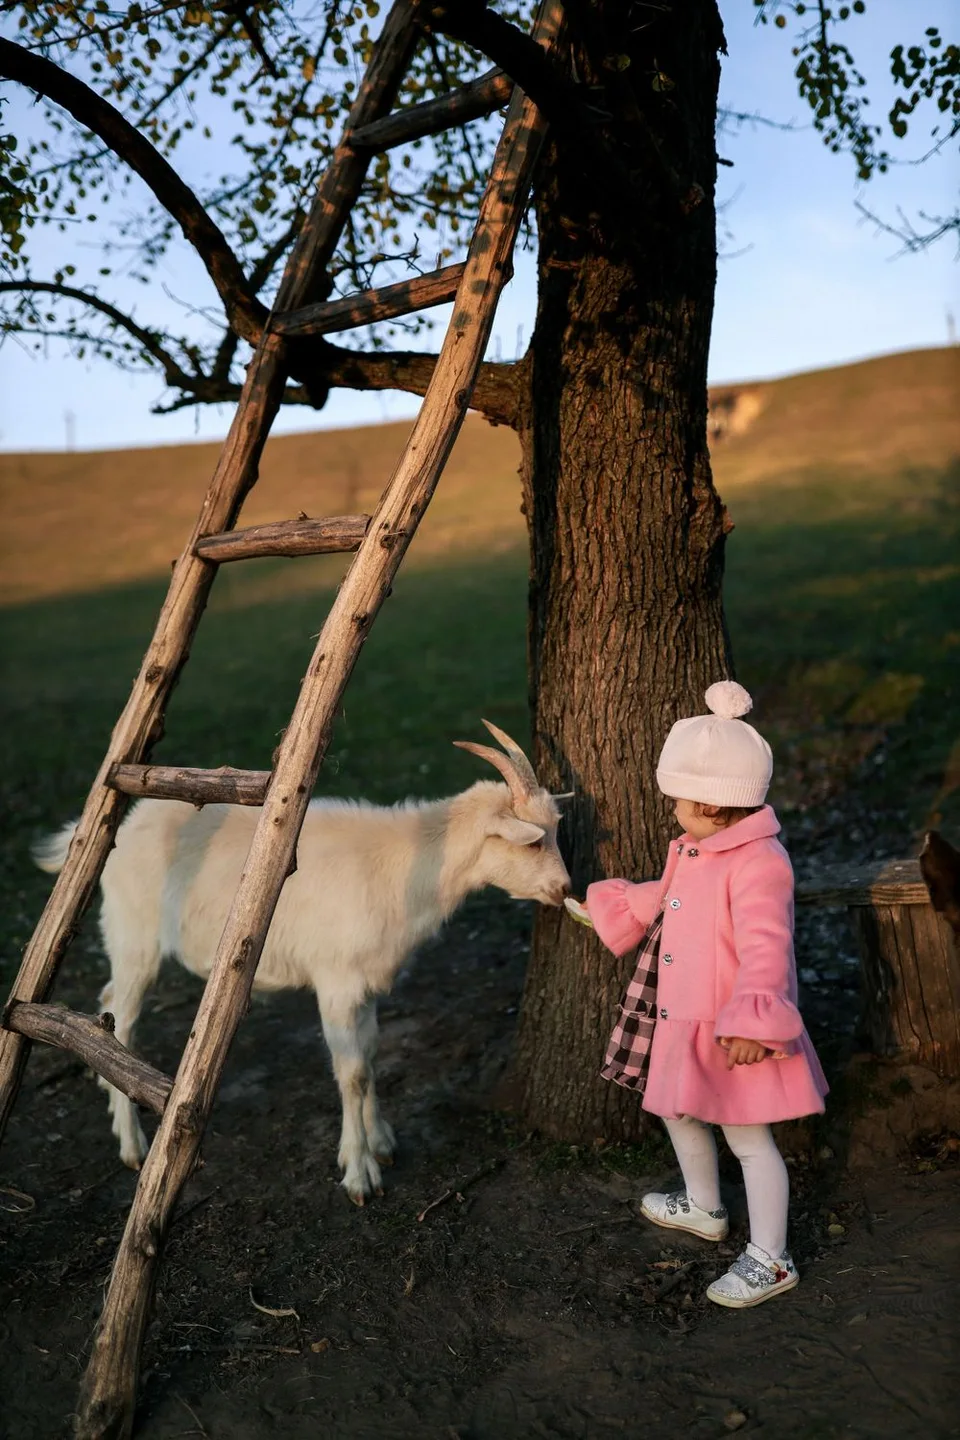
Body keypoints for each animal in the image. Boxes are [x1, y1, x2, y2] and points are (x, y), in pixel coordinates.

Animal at [34, 722, 571, 1203]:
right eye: (533, 840)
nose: (565, 888)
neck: (407, 865)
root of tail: (122, 827)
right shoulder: (336, 981)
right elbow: (350, 1072)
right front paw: (359, 1173)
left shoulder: (366, 984)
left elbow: (370, 1056)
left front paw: (381, 1140)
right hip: (135, 936)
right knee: (123, 1019)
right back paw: (132, 1145)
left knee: (108, 1004)